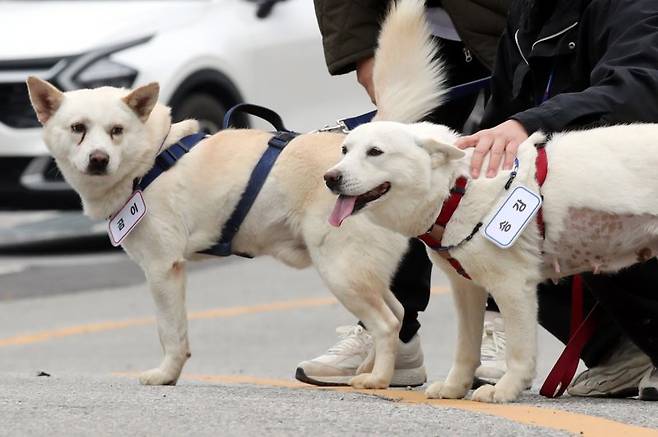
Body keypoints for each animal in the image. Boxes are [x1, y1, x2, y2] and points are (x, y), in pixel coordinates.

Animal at [26, 0, 446, 388]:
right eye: (78, 128)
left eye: (116, 130)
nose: (98, 160)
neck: (151, 159)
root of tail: (374, 148)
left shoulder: (163, 269)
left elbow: (170, 333)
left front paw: (166, 375)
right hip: (362, 273)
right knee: (399, 313)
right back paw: (368, 369)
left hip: (342, 270)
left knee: (387, 323)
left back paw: (376, 380)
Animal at [326, 117, 658, 400]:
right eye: (344, 150)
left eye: (375, 152)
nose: (330, 178)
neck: (457, 188)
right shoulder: (466, 289)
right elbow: (466, 348)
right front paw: (454, 388)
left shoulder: (513, 286)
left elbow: (519, 352)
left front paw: (506, 391)